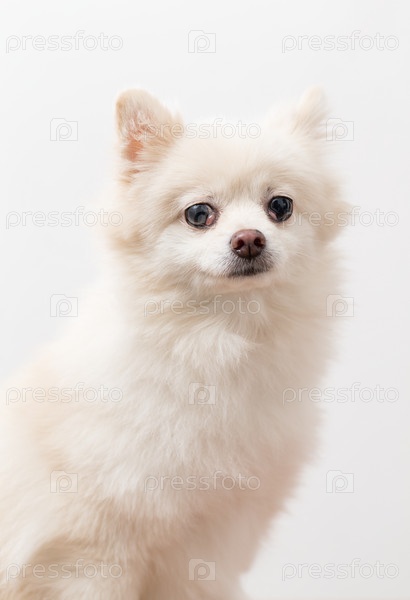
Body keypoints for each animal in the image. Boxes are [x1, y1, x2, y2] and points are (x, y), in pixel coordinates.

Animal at [0, 87, 348, 599]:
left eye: (280, 206)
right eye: (199, 214)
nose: (249, 239)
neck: (215, 343)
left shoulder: (206, 543)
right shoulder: (88, 550)